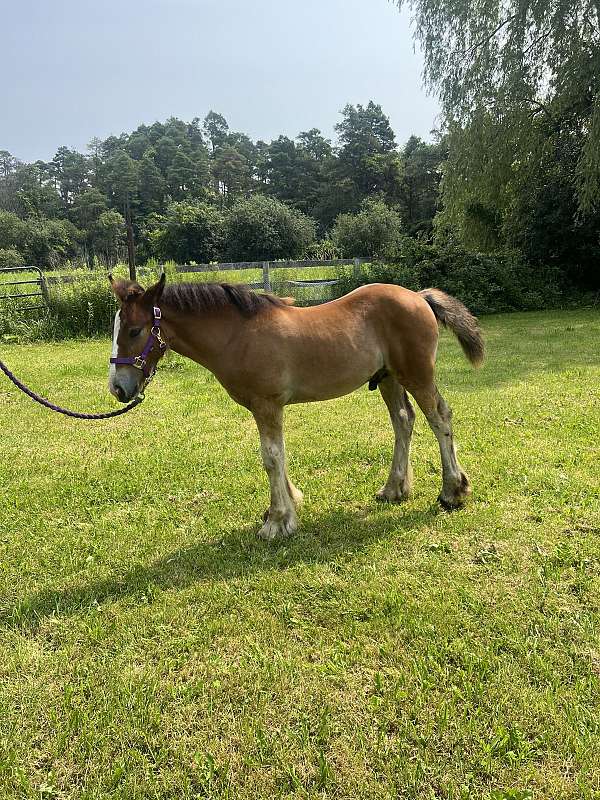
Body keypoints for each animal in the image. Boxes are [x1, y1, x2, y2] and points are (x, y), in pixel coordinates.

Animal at [108, 274, 484, 540]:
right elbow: (280, 455)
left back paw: (452, 492)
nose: (118, 388)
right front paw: (288, 507)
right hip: (389, 378)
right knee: (404, 422)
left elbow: (271, 457)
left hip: (417, 375)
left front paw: (277, 521)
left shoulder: (267, 405)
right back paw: (394, 489)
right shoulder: (267, 408)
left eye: (135, 330)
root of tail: (419, 297)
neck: (237, 335)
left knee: (440, 419)